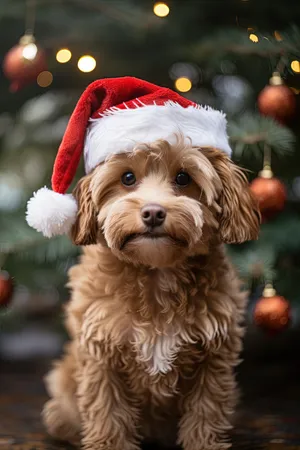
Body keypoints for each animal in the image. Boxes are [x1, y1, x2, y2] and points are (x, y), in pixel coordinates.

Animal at [42, 138, 260, 450]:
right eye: (127, 178)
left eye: (183, 178)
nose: (153, 213)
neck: (157, 273)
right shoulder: (102, 355)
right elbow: (107, 412)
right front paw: (109, 444)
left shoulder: (214, 356)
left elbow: (206, 410)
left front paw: (205, 443)